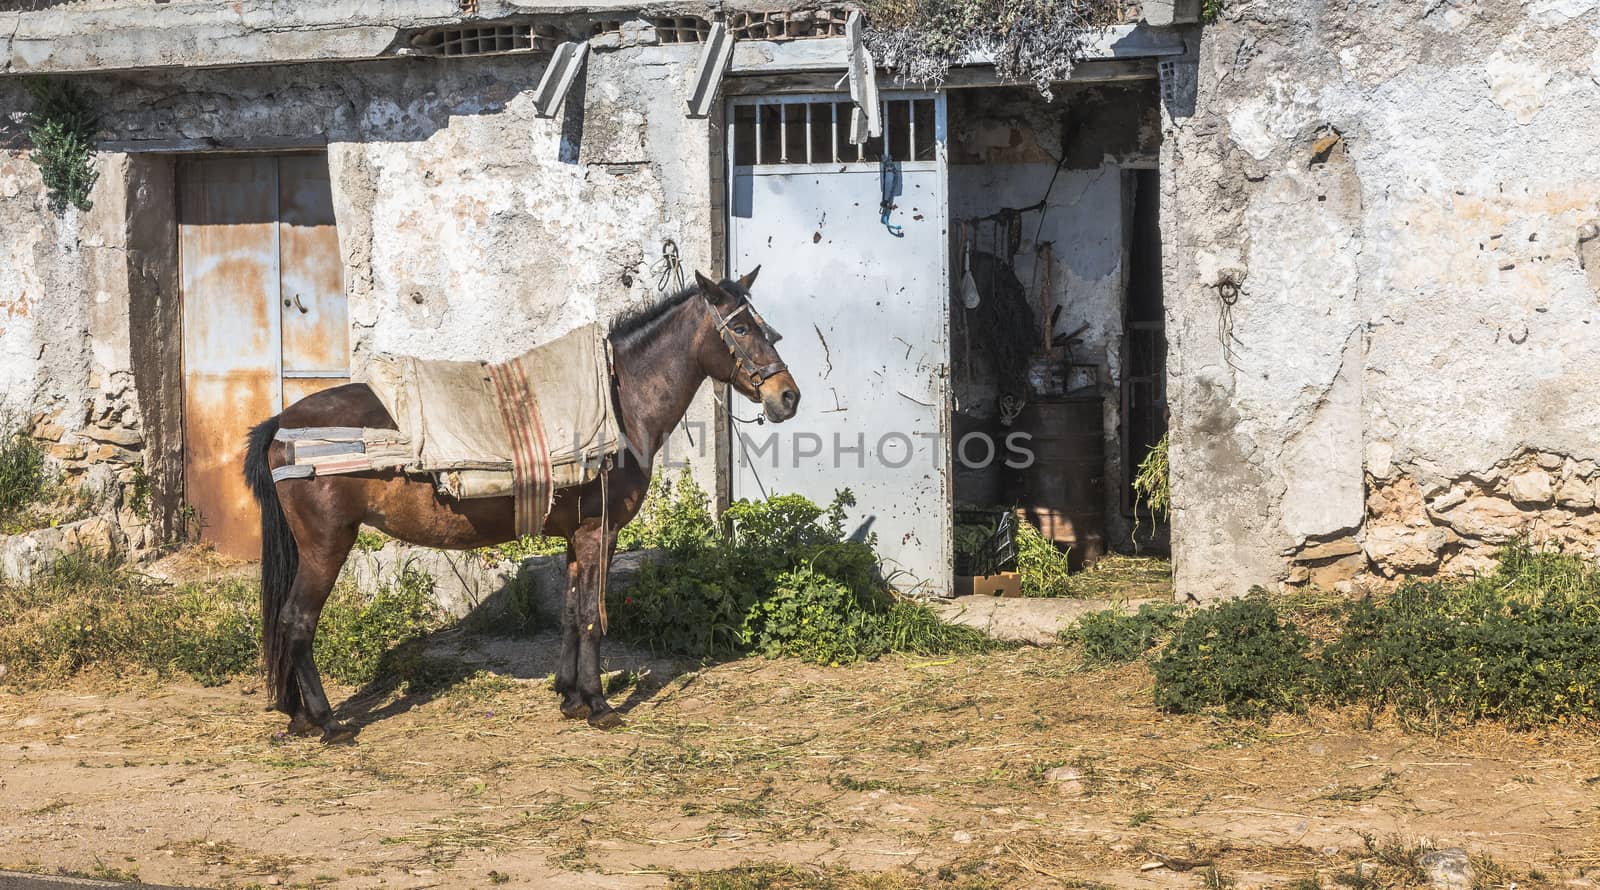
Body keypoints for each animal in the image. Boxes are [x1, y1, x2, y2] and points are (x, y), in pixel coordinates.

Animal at [241, 267, 800, 739]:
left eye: (767, 329)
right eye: (742, 328)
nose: (788, 397)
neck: (620, 406)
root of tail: (282, 424)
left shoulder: (578, 537)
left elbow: (572, 612)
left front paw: (572, 697)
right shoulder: (601, 533)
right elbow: (592, 615)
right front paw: (599, 704)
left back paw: (298, 716)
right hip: (327, 546)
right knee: (297, 622)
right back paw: (326, 722)